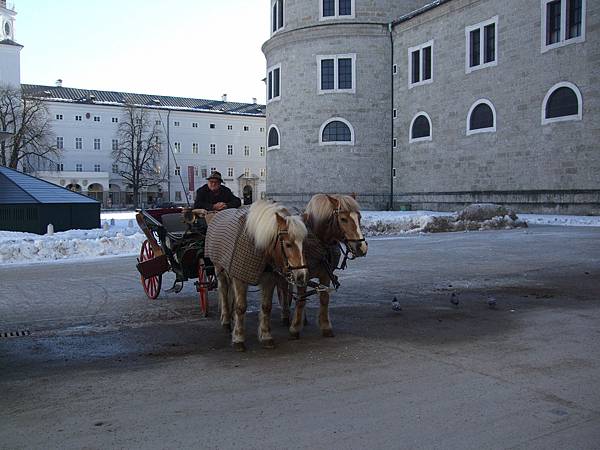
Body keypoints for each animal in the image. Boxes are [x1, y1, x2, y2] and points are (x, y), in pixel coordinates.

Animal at [207, 200, 310, 352]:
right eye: (288, 244)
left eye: (304, 243)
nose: (301, 275)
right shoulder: (240, 278)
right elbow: (241, 307)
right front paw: (238, 338)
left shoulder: (269, 278)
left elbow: (266, 306)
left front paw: (266, 336)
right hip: (219, 269)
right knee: (224, 291)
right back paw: (226, 320)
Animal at [278, 193, 368, 338]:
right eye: (343, 219)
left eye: (359, 217)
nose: (362, 247)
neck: (317, 241)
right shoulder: (301, 274)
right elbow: (301, 300)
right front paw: (295, 328)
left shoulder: (326, 274)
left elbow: (324, 298)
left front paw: (325, 326)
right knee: (284, 290)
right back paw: (285, 314)